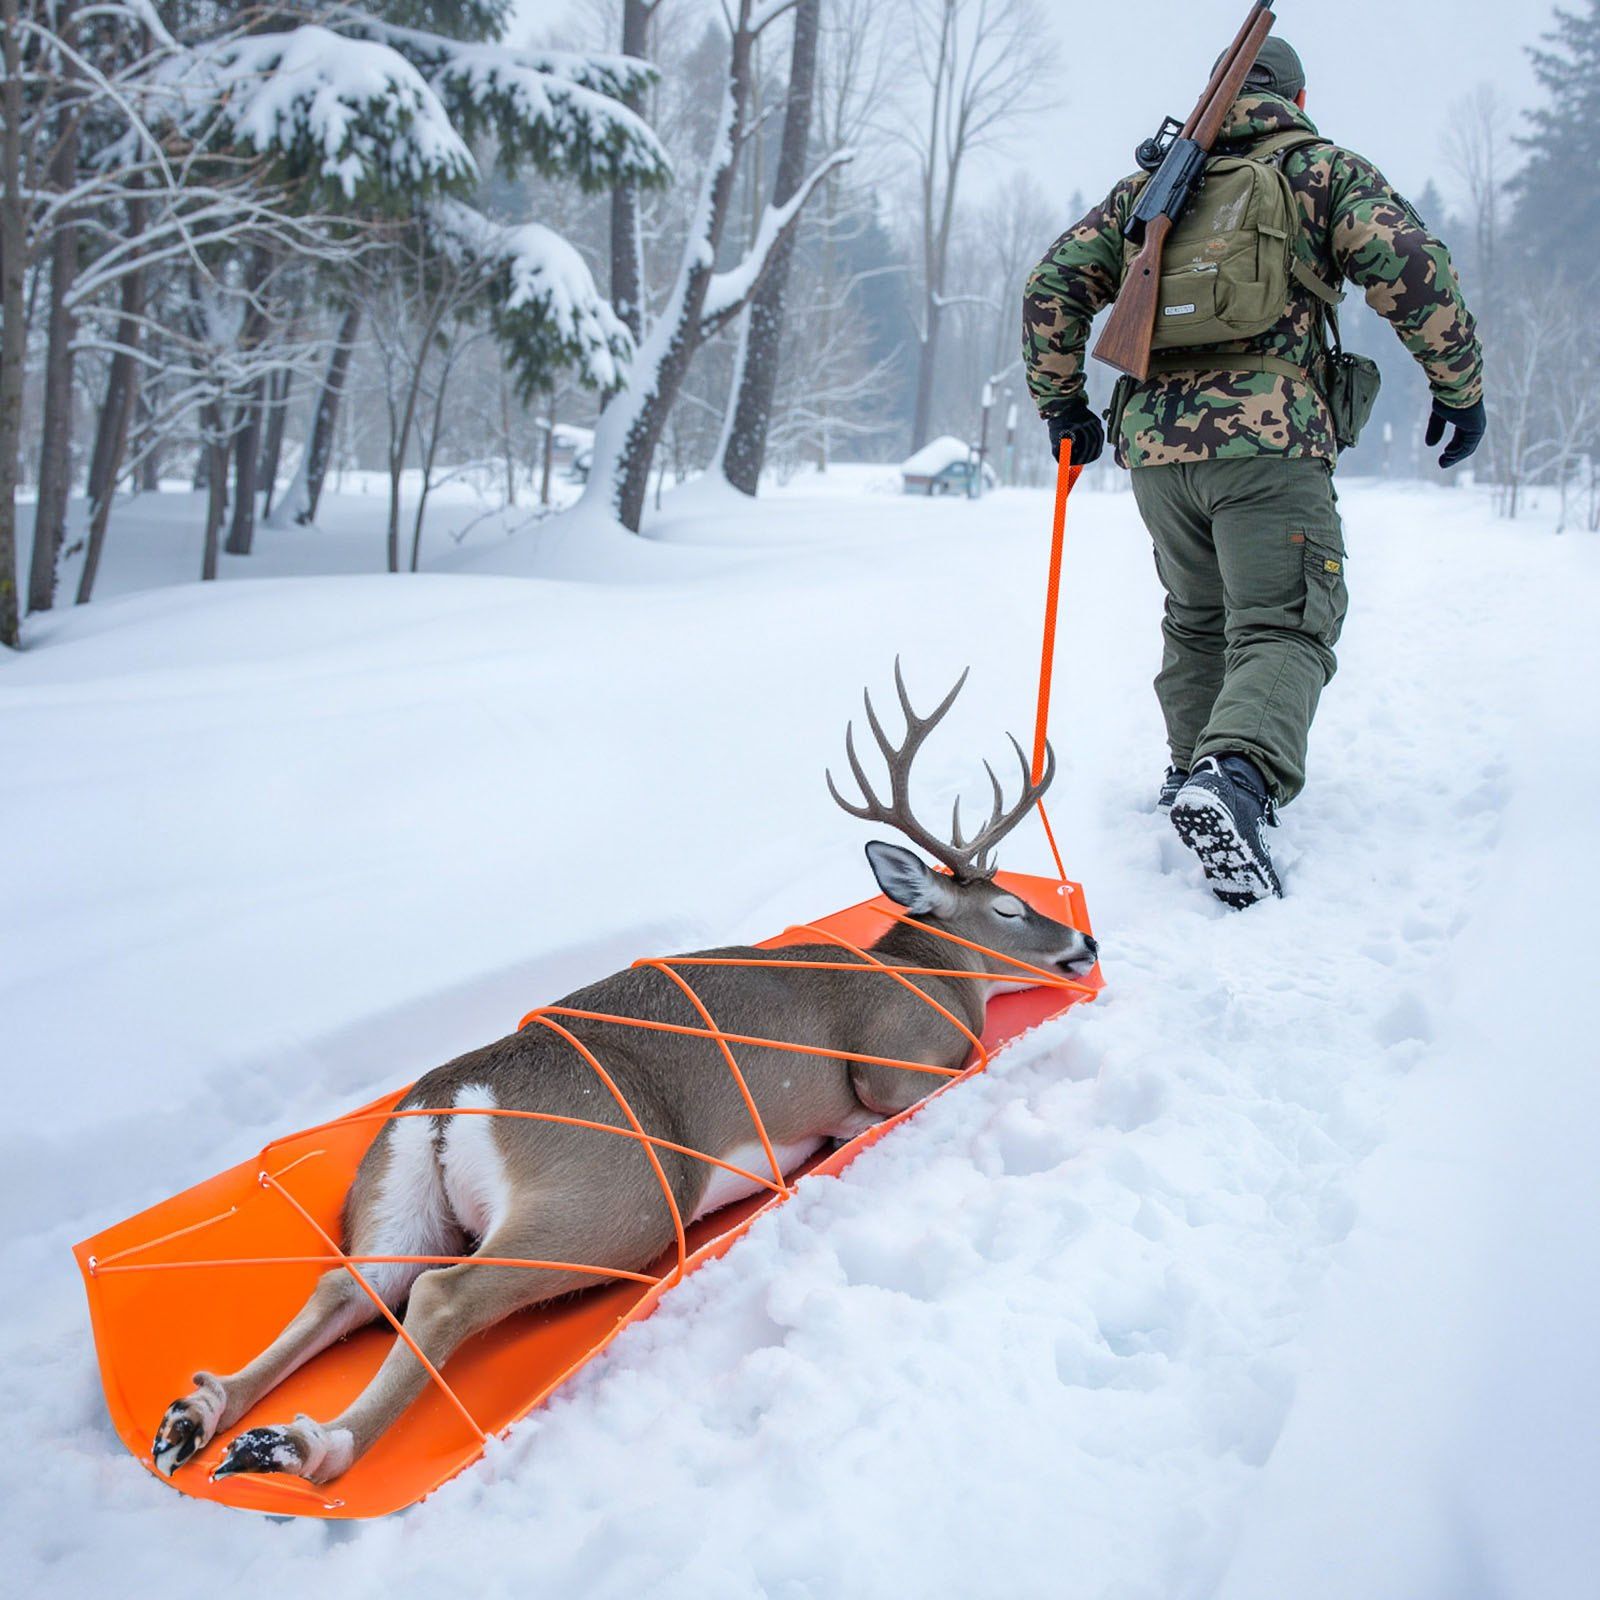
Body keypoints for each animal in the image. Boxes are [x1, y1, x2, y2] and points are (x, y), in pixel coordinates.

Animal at [151, 666, 1098, 1486]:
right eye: (1009, 905)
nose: (1086, 941)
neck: (927, 971)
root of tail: (453, 1101)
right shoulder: (895, 1060)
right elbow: (888, 1097)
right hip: (620, 1196)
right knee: (441, 1295)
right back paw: (307, 1446)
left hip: (400, 1190)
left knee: (349, 1285)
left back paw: (200, 1419)